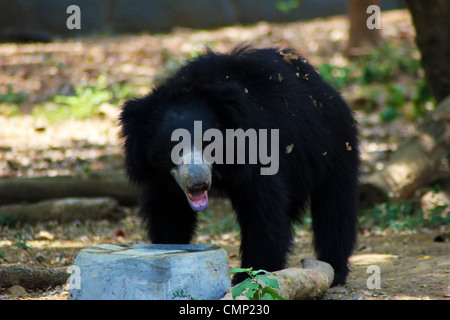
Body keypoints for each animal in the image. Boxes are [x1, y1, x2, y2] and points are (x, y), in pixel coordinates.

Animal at [119, 44, 358, 284]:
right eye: (173, 148)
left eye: (208, 142)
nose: (198, 183)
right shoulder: (161, 177)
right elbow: (168, 210)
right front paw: (169, 248)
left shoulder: (256, 149)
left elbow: (263, 211)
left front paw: (249, 276)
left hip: (332, 145)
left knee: (335, 206)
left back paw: (334, 268)